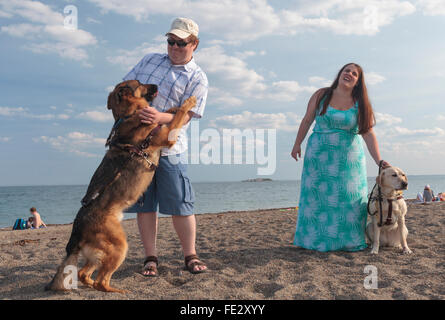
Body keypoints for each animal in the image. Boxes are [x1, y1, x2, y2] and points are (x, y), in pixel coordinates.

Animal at [45, 79, 196, 292]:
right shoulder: (167, 136)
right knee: (101, 280)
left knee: (84, 274)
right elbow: (179, 116)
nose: (156, 85)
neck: (130, 114)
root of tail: (78, 229)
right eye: (140, 83)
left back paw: (91, 285)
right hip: (119, 246)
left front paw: (171, 108)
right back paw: (117, 290)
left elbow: (169, 114)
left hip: (101, 252)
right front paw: (188, 102)